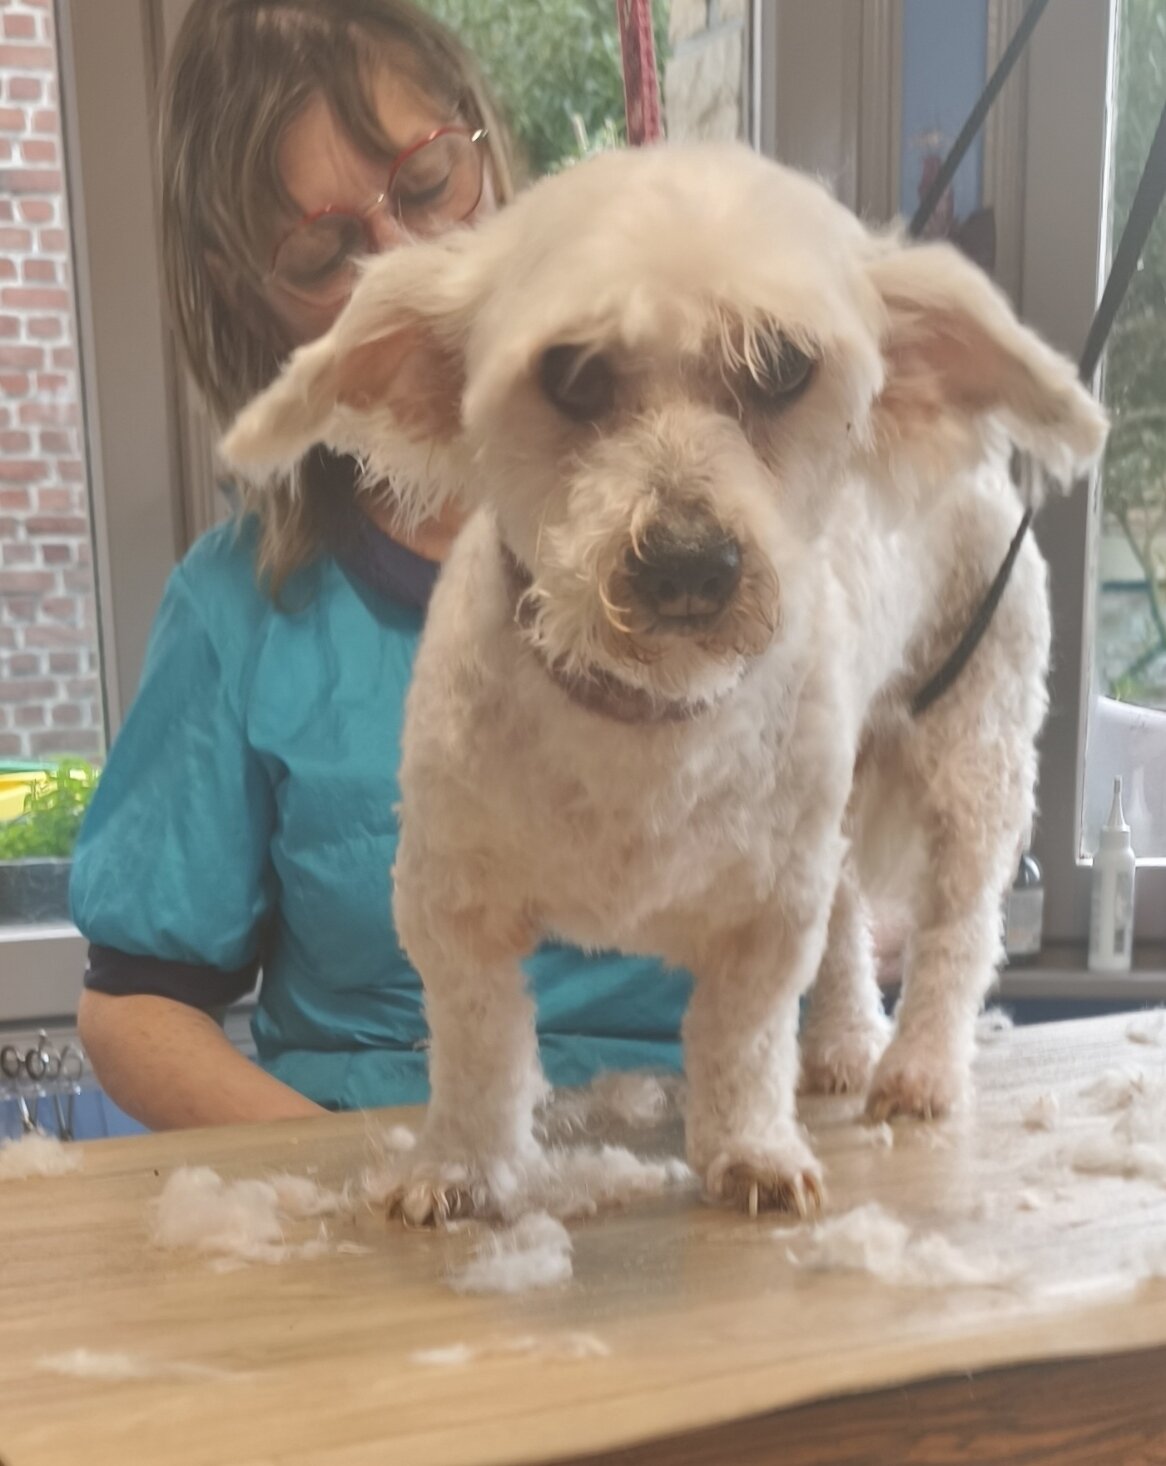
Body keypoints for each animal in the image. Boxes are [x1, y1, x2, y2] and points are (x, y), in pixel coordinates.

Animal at [223, 143, 1106, 1223]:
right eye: (570, 372)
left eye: (782, 367)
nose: (689, 561)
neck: (641, 715)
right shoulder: (450, 902)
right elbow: (477, 1048)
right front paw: (459, 1166)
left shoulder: (767, 912)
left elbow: (741, 1036)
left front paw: (750, 1148)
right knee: (852, 915)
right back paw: (844, 1044)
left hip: (971, 750)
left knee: (957, 925)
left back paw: (918, 1066)